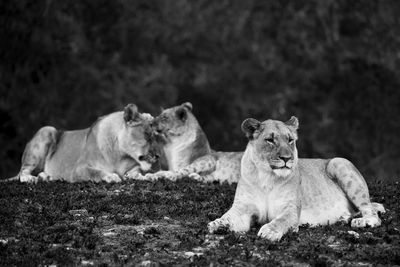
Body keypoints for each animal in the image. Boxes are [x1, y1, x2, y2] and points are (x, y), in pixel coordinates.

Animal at [2, 104, 156, 184]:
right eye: (147, 135)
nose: (158, 156)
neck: (120, 154)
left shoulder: (132, 168)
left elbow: (137, 173)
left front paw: (148, 176)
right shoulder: (78, 169)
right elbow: (95, 172)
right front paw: (111, 176)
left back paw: (48, 177)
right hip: (47, 129)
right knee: (23, 172)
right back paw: (30, 179)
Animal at [206, 116, 384, 242]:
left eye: (290, 140)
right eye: (270, 140)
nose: (287, 158)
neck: (267, 177)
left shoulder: (290, 209)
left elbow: (281, 220)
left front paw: (269, 231)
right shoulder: (243, 207)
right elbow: (228, 216)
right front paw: (218, 224)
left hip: (338, 162)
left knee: (372, 213)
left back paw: (361, 221)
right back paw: (343, 217)